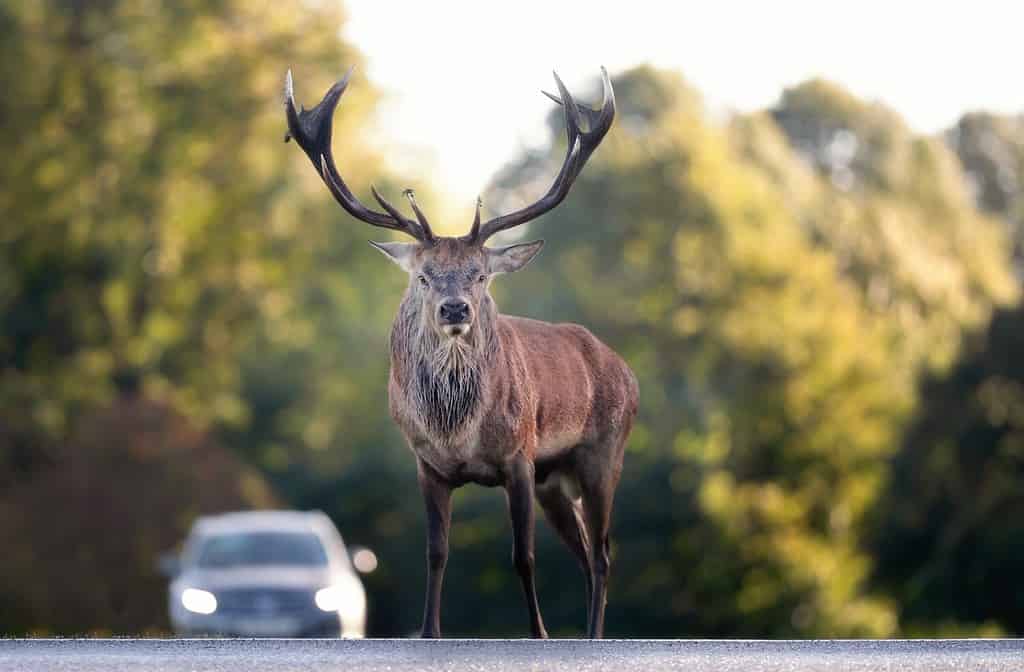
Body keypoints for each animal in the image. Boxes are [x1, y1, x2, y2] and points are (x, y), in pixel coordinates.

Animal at [284, 66, 638, 639]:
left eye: (481, 275)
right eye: (425, 276)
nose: (456, 309)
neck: (458, 430)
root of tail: (625, 368)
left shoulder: (519, 455)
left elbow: (522, 556)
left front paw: (539, 635)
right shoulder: (427, 463)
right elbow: (436, 552)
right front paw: (429, 631)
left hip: (604, 451)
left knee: (604, 554)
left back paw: (590, 636)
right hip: (555, 479)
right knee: (587, 555)